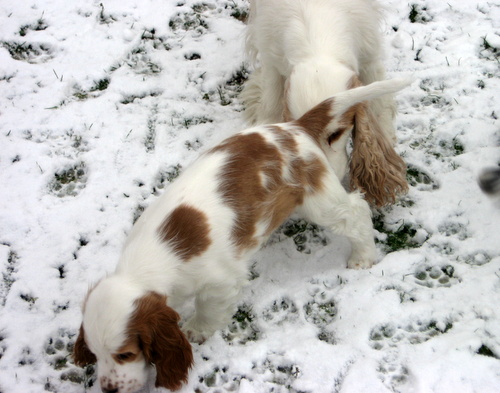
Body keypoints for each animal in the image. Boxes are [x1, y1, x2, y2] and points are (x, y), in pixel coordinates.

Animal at [73, 78, 410, 390]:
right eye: (95, 354)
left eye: (126, 354)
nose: (109, 389)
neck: (143, 268)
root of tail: (295, 128)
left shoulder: (219, 282)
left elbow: (208, 310)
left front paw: (196, 330)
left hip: (318, 200)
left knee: (355, 212)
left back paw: (362, 256)